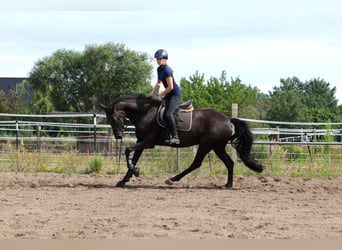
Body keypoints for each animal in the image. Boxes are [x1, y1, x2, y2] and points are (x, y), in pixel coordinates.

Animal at [100, 94, 264, 188]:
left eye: (114, 119)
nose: (118, 136)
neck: (145, 112)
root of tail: (228, 120)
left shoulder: (148, 142)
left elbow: (127, 150)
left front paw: (135, 172)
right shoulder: (141, 142)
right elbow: (133, 157)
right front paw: (124, 179)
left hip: (206, 144)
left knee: (196, 163)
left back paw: (172, 179)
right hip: (217, 146)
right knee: (229, 163)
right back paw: (228, 184)